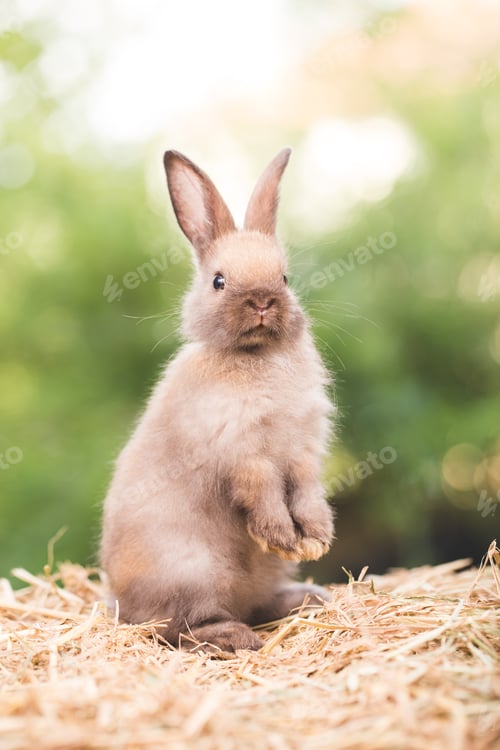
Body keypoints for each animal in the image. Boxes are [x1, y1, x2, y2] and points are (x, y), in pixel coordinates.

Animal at [100, 147, 335, 653]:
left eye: (285, 277)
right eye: (219, 281)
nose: (263, 300)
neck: (257, 355)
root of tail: (122, 606)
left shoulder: (304, 450)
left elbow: (307, 493)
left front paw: (317, 539)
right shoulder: (245, 454)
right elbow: (264, 495)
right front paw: (281, 534)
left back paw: (309, 599)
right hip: (194, 575)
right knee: (179, 628)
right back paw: (234, 638)